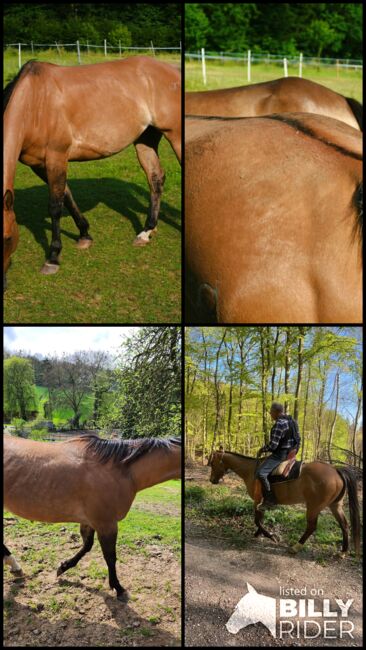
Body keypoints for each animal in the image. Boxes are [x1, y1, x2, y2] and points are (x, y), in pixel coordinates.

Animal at [2, 56, 180, 286]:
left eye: (7, 238)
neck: (35, 102)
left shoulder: (56, 157)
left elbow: (55, 206)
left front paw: (53, 258)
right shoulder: (40, 165)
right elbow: (67, 196)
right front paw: (84, 234)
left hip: (175, 135)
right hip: (146, 138)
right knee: (155, 178)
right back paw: (147, 231)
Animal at [4, 432, 182, 600]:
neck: (120, 470)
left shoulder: (90, 522)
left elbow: (87, 546)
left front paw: (64, 567)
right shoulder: (106, 524)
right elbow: (110, 556)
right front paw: (118, 588)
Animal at [209, 448, 360, 556]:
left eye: (212, 463)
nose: (212, 480)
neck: (251, 470)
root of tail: (336, 470)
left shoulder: (257, 501)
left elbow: (257, 520)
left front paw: (270, 536)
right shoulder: (262, 503)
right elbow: (260, 519)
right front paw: (259, 534)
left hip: (313, 507)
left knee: (311, 527)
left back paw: (296, 547)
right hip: (335, 506)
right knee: (344, 525)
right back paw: (343, 552)